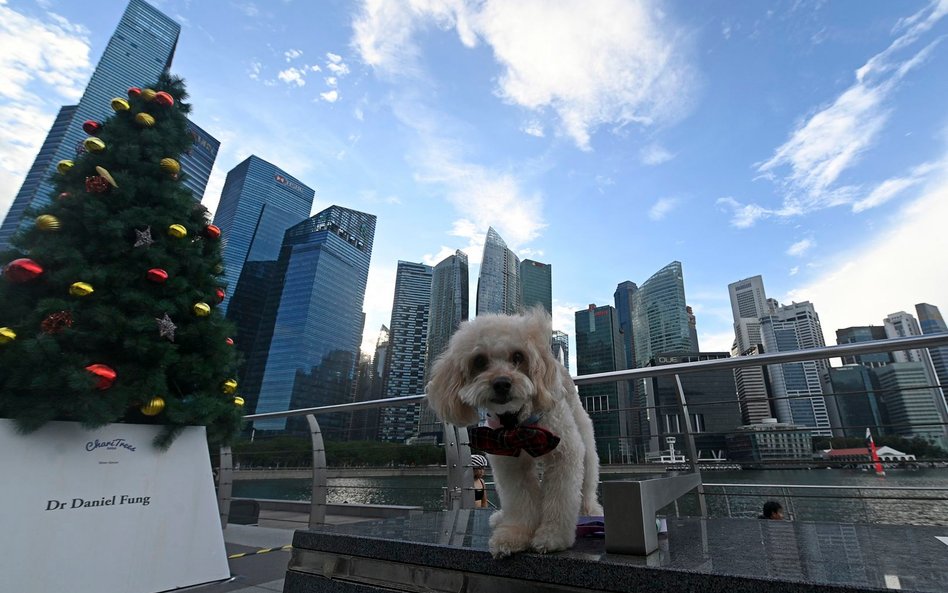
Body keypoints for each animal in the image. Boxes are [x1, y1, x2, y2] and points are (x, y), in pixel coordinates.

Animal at [428, 308, 604, 556]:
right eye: (479, 361)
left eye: (518, 357)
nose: (502, 383)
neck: (516, 424)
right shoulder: (507, 458)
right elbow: (520, 500)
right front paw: (514, 535)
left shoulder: (564, 454)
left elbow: (560, 499)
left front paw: (552, 536)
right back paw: (502, 517)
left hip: (585, 440)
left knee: (587, 481)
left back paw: (589, 510)